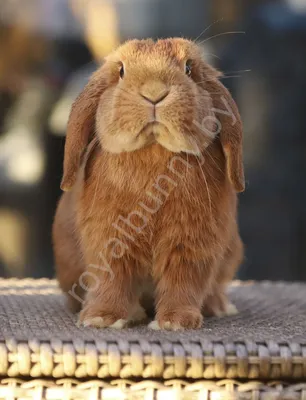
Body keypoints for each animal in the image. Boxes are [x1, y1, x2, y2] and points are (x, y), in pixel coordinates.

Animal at [52, 38, 244, 332]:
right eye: (121, 71)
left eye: (189, 68)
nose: (155, 92)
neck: (154, 149)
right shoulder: (109, 240)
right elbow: (111, 280)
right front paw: (102, 318)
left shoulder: (191, 245)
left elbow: (184, 283)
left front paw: (177, 321)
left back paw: (218, 306)